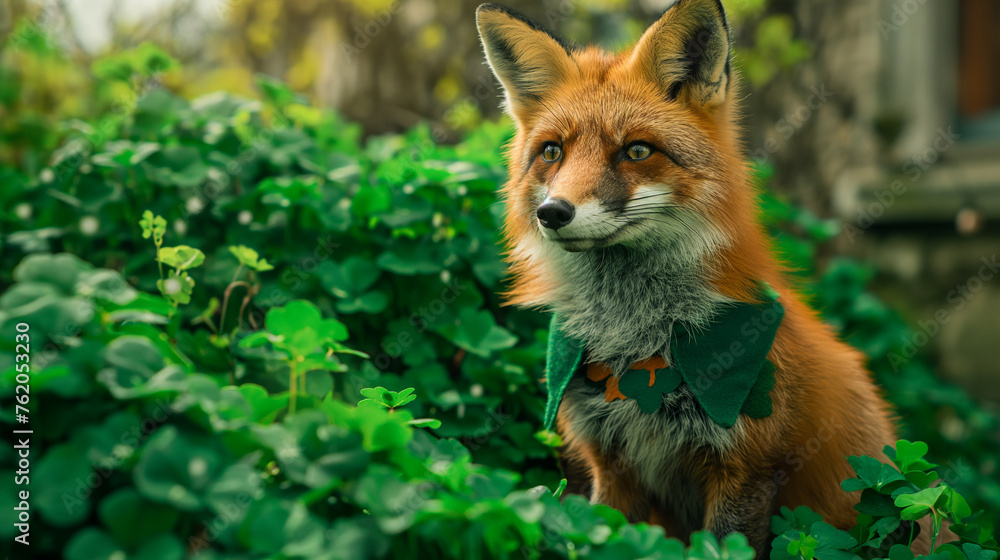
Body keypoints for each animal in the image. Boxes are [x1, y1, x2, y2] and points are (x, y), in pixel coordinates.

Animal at [474, 0, 931, 557]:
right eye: (552, 152)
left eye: (637, 151)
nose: (553, 213)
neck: (637, 342)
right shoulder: (611, 464)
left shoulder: (746, 469)